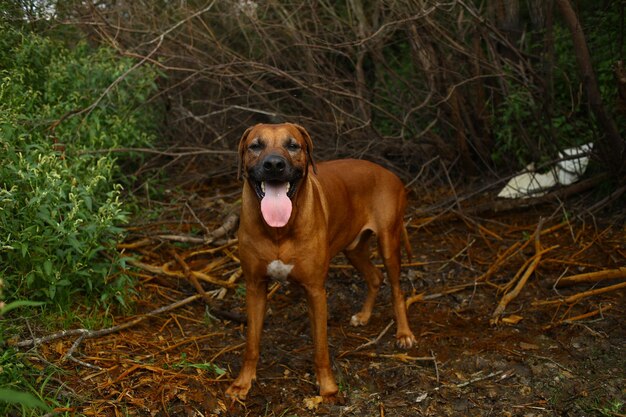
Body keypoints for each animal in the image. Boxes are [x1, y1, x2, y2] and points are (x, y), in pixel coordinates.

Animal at [224, 122, 414, 400]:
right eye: (255, 146)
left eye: (293, 145)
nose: (274, 164)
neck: (279, 230)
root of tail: (388, 173)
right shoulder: (254, 287)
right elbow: (251, 343)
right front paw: (243, 382)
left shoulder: (315, 290)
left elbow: (321, 347)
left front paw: (328, 387)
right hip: (353, 248)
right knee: (375, 277)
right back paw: (364, 316)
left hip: (389, 242)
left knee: (397, 289)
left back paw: (404, 333)